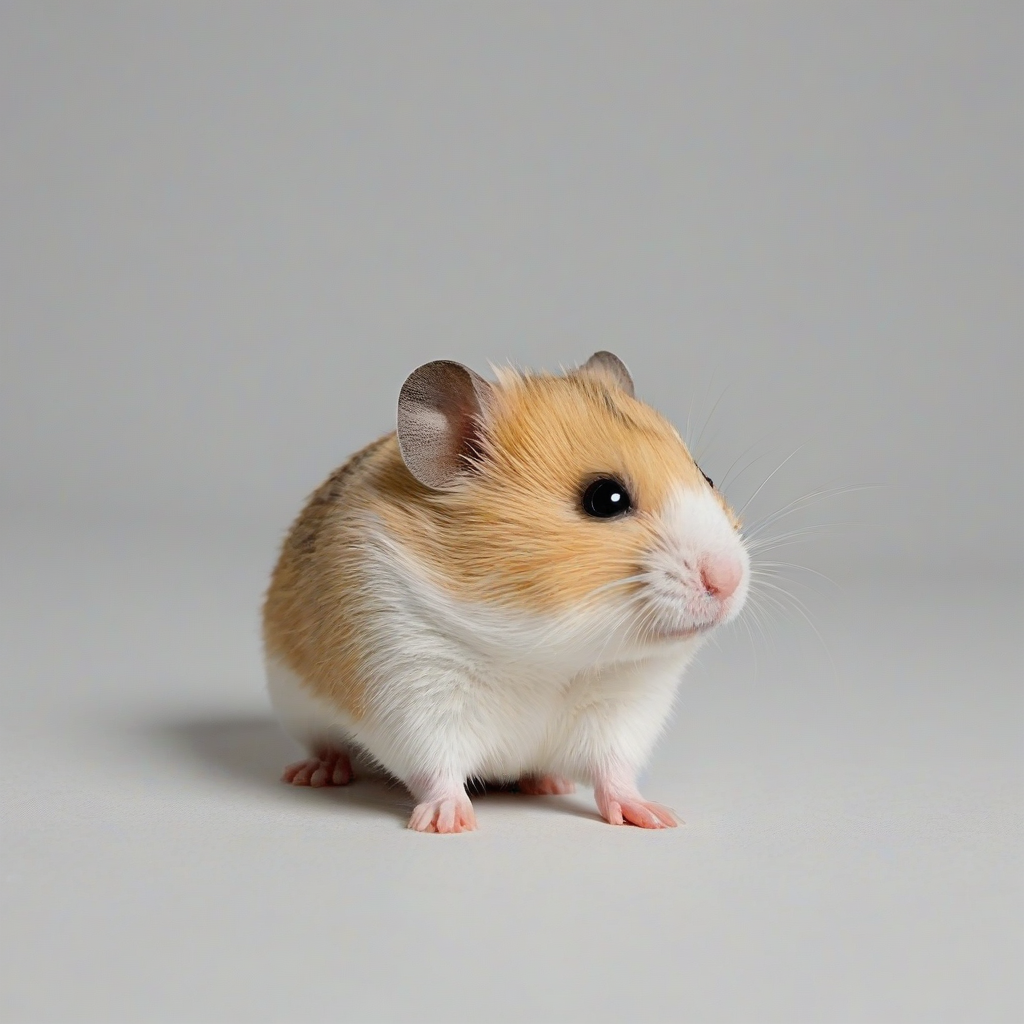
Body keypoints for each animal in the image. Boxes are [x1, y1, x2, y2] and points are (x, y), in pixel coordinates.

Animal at [262, 352, 749, 833]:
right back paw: (317, 773)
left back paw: (548, 783)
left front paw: (656, 818)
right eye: (605, 498)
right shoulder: (411, 688)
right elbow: (436, 770)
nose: (729, 581)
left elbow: (614, 772)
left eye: (706, 477)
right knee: (327, 747)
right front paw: (448, 824)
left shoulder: (625, 709)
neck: (545, 657)